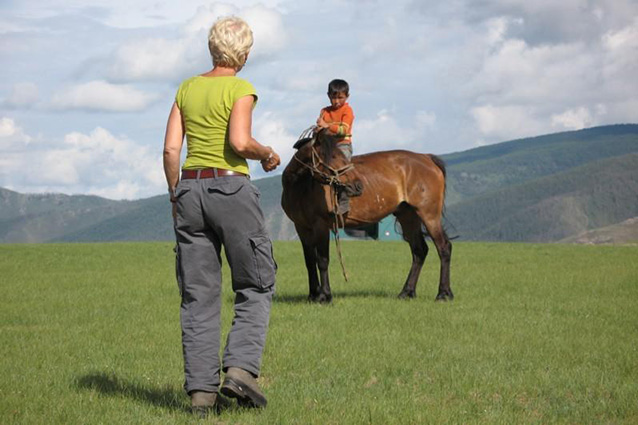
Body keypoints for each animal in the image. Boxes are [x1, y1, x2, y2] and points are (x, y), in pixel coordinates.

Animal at [282, 129, 456, 302]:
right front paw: (313, 294)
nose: (358, 186)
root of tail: (426, 158)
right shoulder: (302, 228)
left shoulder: (321, 226)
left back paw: (443, 293)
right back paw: (407, 292)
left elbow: (322, 260)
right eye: (332, 157)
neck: (301, 185)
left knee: (443, 247)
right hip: (408, 216)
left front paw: (324, 295)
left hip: (429, 216)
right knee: (419, 250)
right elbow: (309, 261)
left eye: (341, 156)